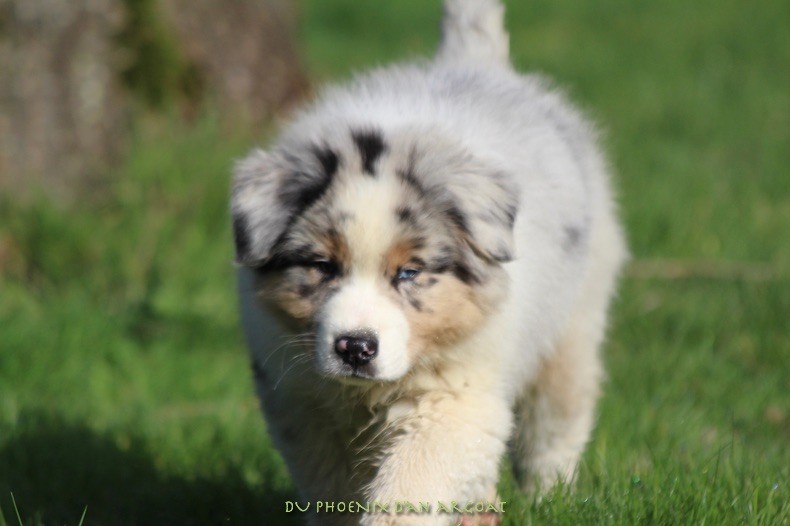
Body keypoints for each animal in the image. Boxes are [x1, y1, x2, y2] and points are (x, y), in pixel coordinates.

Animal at [231, 1, 626, 524]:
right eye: (322, 265)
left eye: (409, 273)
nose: (355, 348)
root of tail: (474, 64)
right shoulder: (302, 403)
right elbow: (333, 485)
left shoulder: (455, 396)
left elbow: (414, 481)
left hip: (574, 322)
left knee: (555, 419)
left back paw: (550, 495)